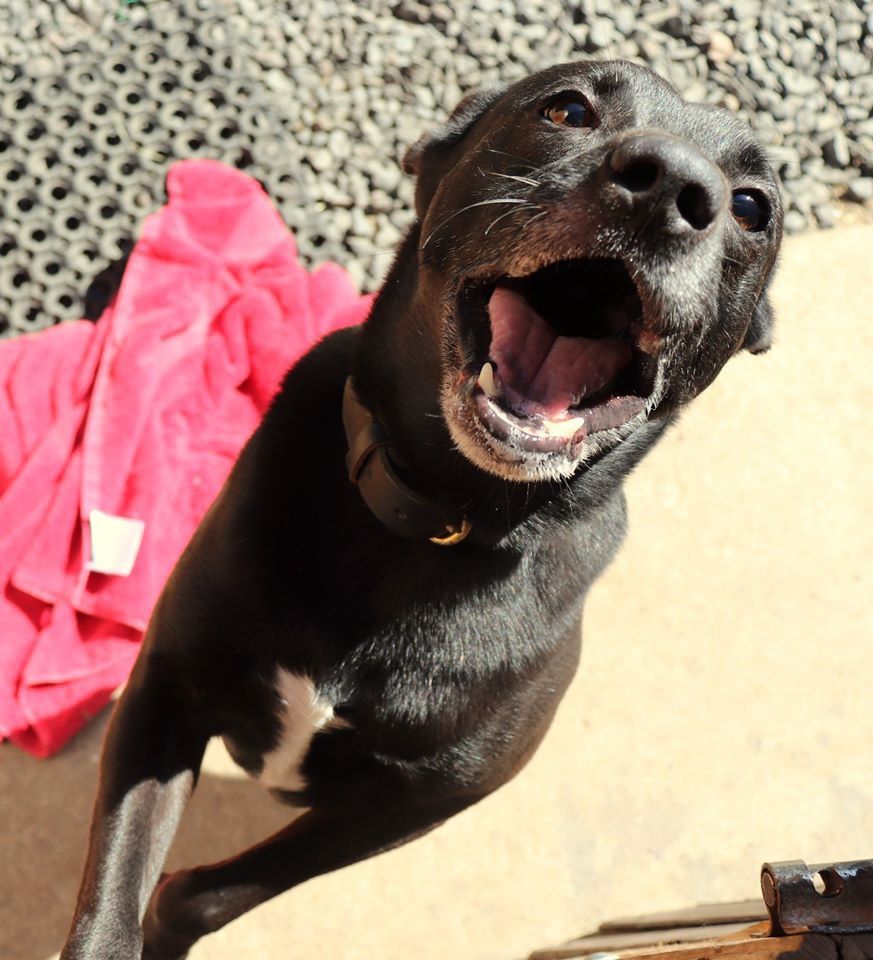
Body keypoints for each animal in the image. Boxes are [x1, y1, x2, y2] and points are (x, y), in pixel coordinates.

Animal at [61, 59, 782, 959]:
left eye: (753, 206)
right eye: (567, 108)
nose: (672, 186)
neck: (429, 518)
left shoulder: (416, 802)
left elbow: (202, 893)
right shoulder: (165, 687)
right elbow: (116, 894)